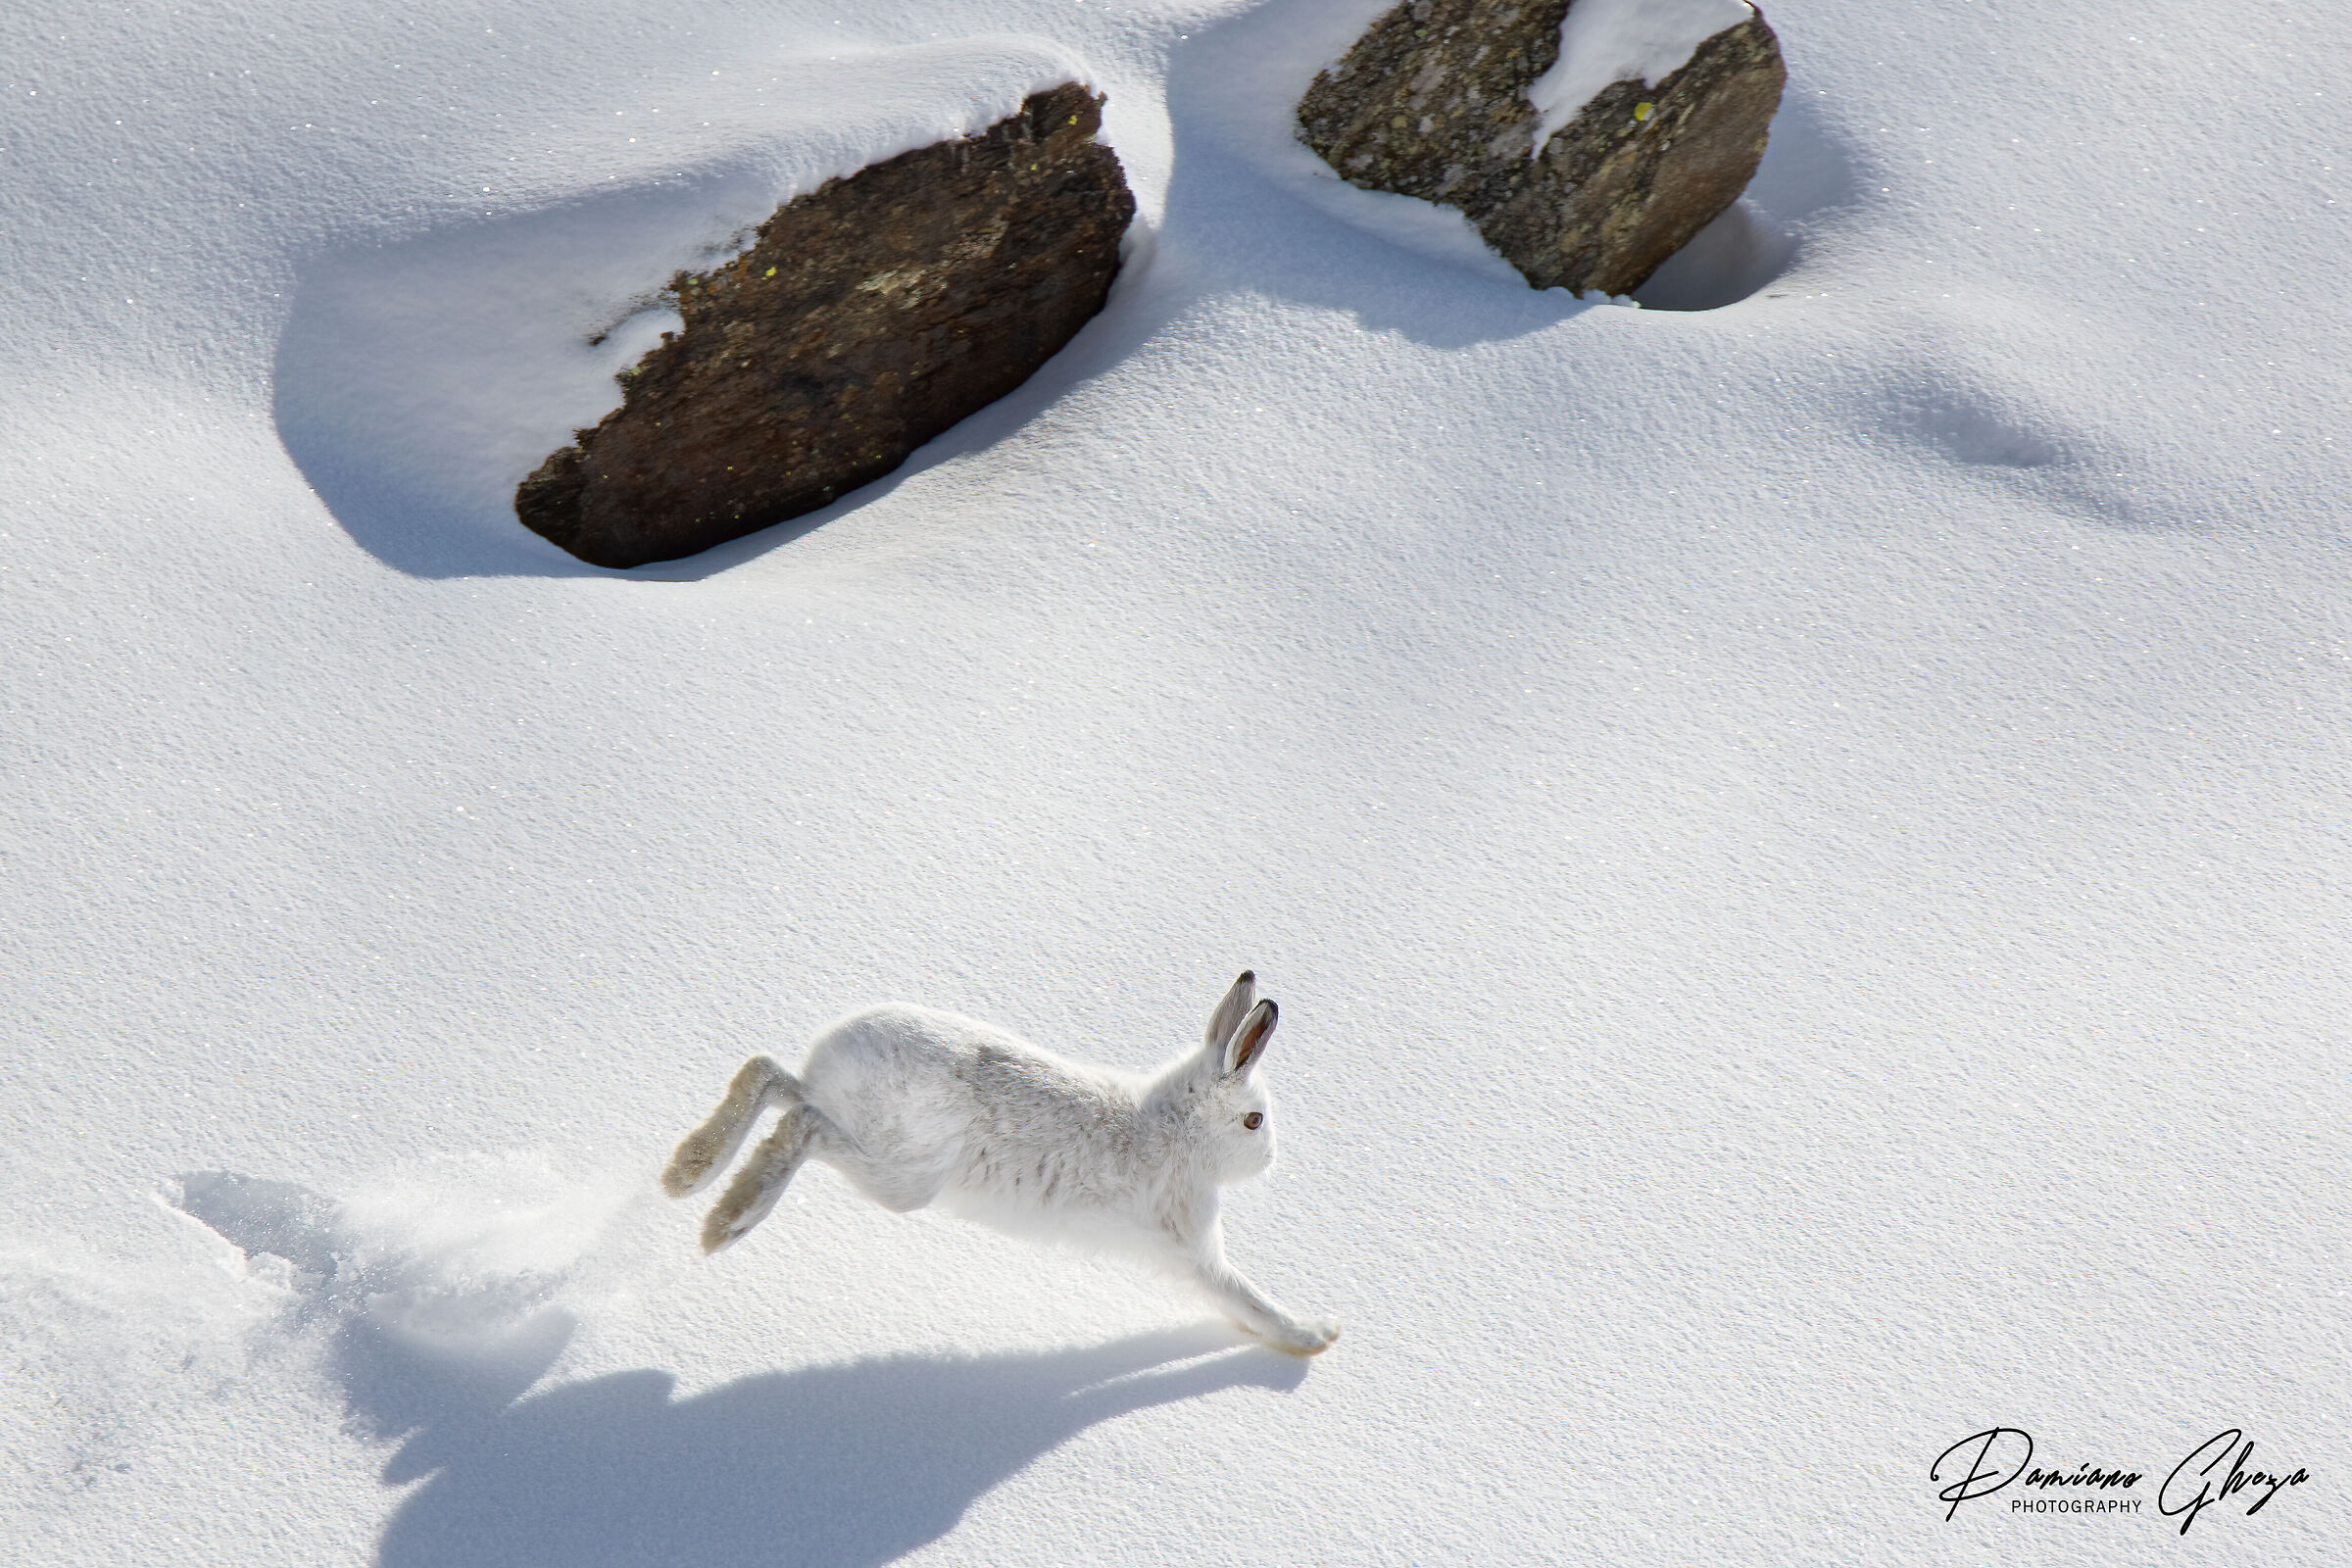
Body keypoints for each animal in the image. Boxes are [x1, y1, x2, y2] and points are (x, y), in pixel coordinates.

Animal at [660, 970, 1340, 1356]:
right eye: (1254, 1121)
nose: (1271, 1158)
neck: (1175, 1126)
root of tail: (842, 1049)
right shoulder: (1191, 1246)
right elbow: (1243, 1298)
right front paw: (1313, 1337)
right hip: (901, 1175)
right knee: (797, 1126)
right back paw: (730, 1221)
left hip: (854, 1127)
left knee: (767, 1076)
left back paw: (687, 1174)